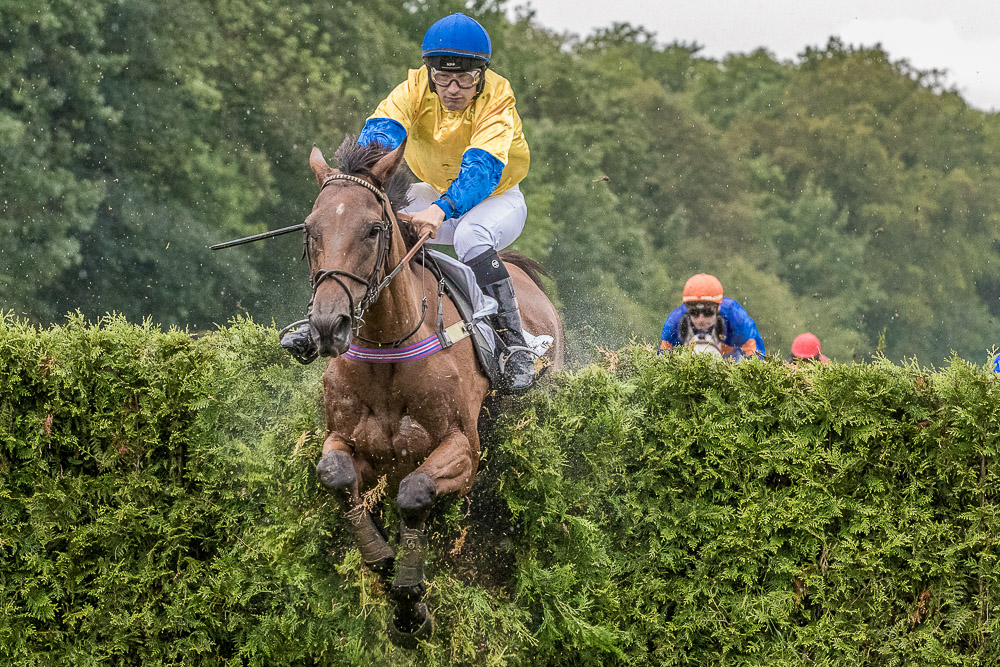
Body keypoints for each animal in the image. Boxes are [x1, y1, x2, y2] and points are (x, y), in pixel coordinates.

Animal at [300, 137, 568, 648]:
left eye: (373, 230)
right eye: (310, 229)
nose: (328, 325)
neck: (388, 349)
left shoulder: (461, 447)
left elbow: (415, 492)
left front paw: (409, 604)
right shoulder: (345, 438)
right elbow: (336, 476)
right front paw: (382, 559)